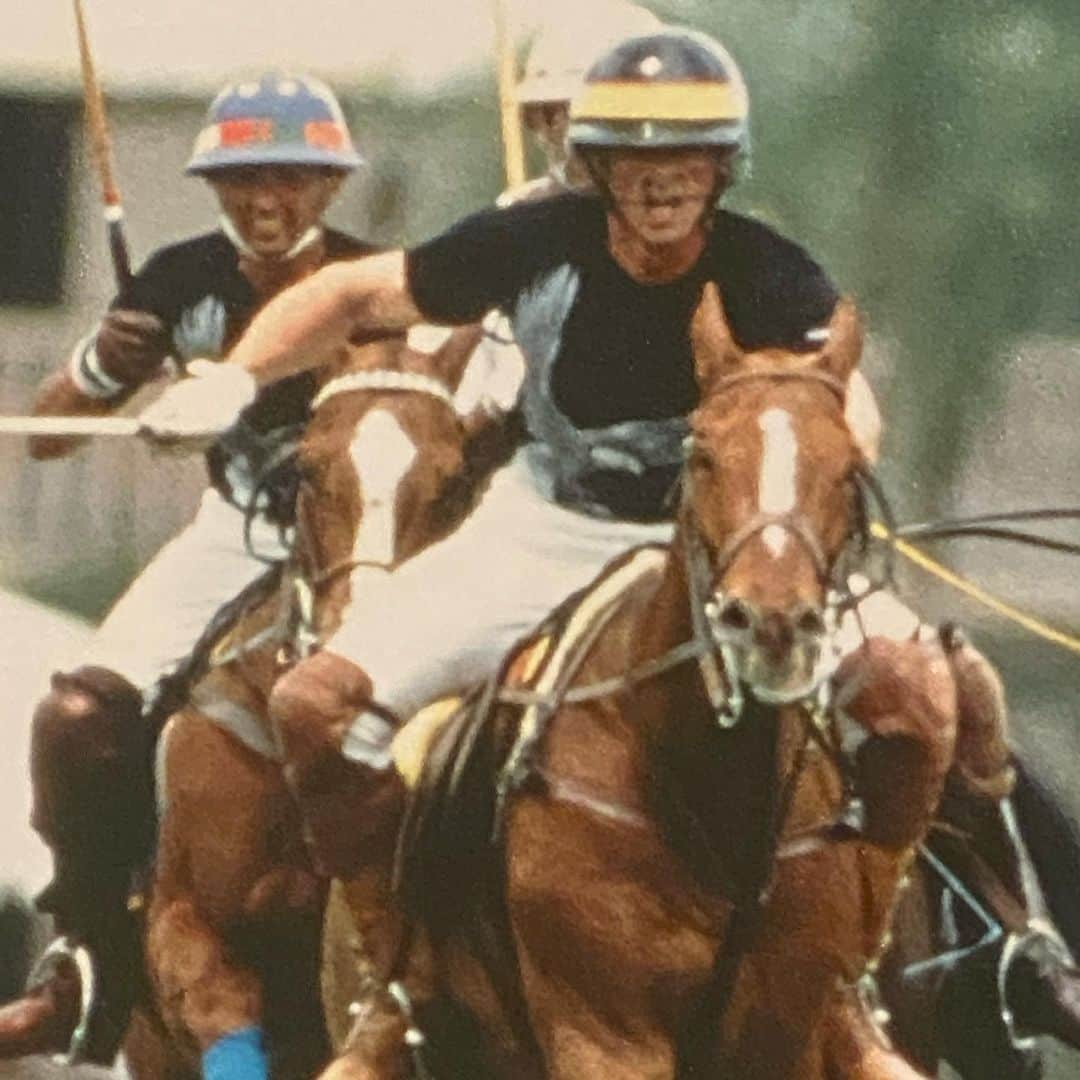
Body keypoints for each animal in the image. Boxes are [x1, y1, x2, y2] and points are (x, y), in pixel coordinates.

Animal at [319, 287, 954, 1080]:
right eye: (703, 453)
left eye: (847, 468)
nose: (769, 621)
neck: (709, 787)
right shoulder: (605, 1034)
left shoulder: (783, 1033)